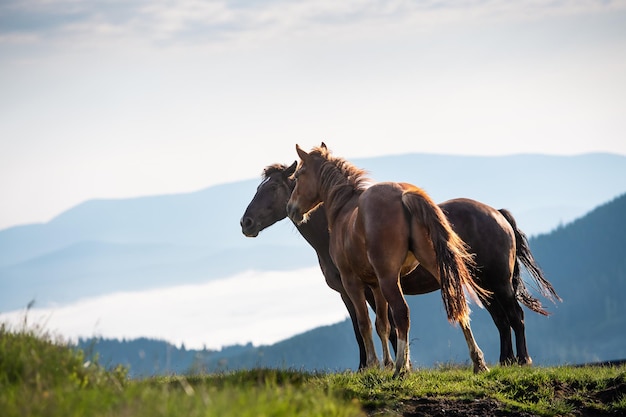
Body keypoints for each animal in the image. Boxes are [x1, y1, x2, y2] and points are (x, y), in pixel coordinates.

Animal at [240, 157, 560, 370]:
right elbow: (371, 327)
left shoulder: (363, 288)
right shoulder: (356, 291)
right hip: (483, 284)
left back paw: (521, 360)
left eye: (272, 189)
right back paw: (504, 361)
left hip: (499, 282)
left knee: (515, 316)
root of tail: (497, 213)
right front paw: (380, 365)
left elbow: (380, 327)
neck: (343, 221)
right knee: (501, 320)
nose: (246, 223)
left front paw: (383, 366)